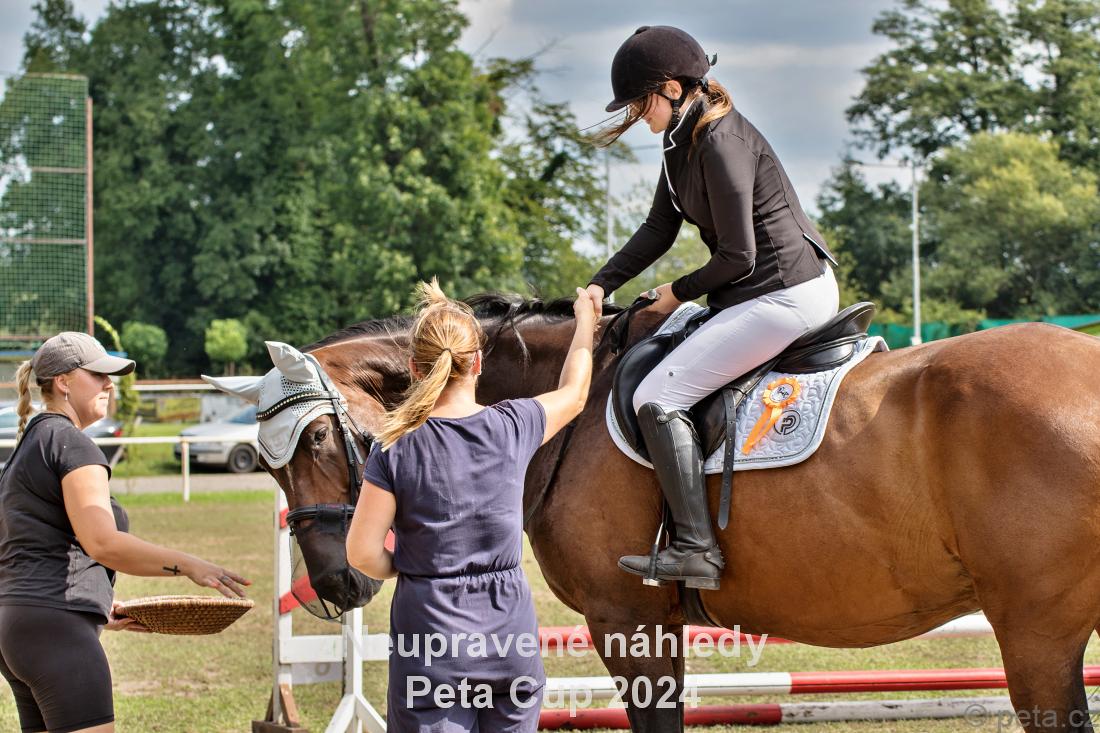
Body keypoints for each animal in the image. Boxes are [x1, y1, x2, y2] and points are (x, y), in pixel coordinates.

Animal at [211, 294, 1100, 733]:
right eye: (267, 462)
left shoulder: (626, 619)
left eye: (319, 437)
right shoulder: (654, 624)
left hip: (1036, 632)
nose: (336, 583)